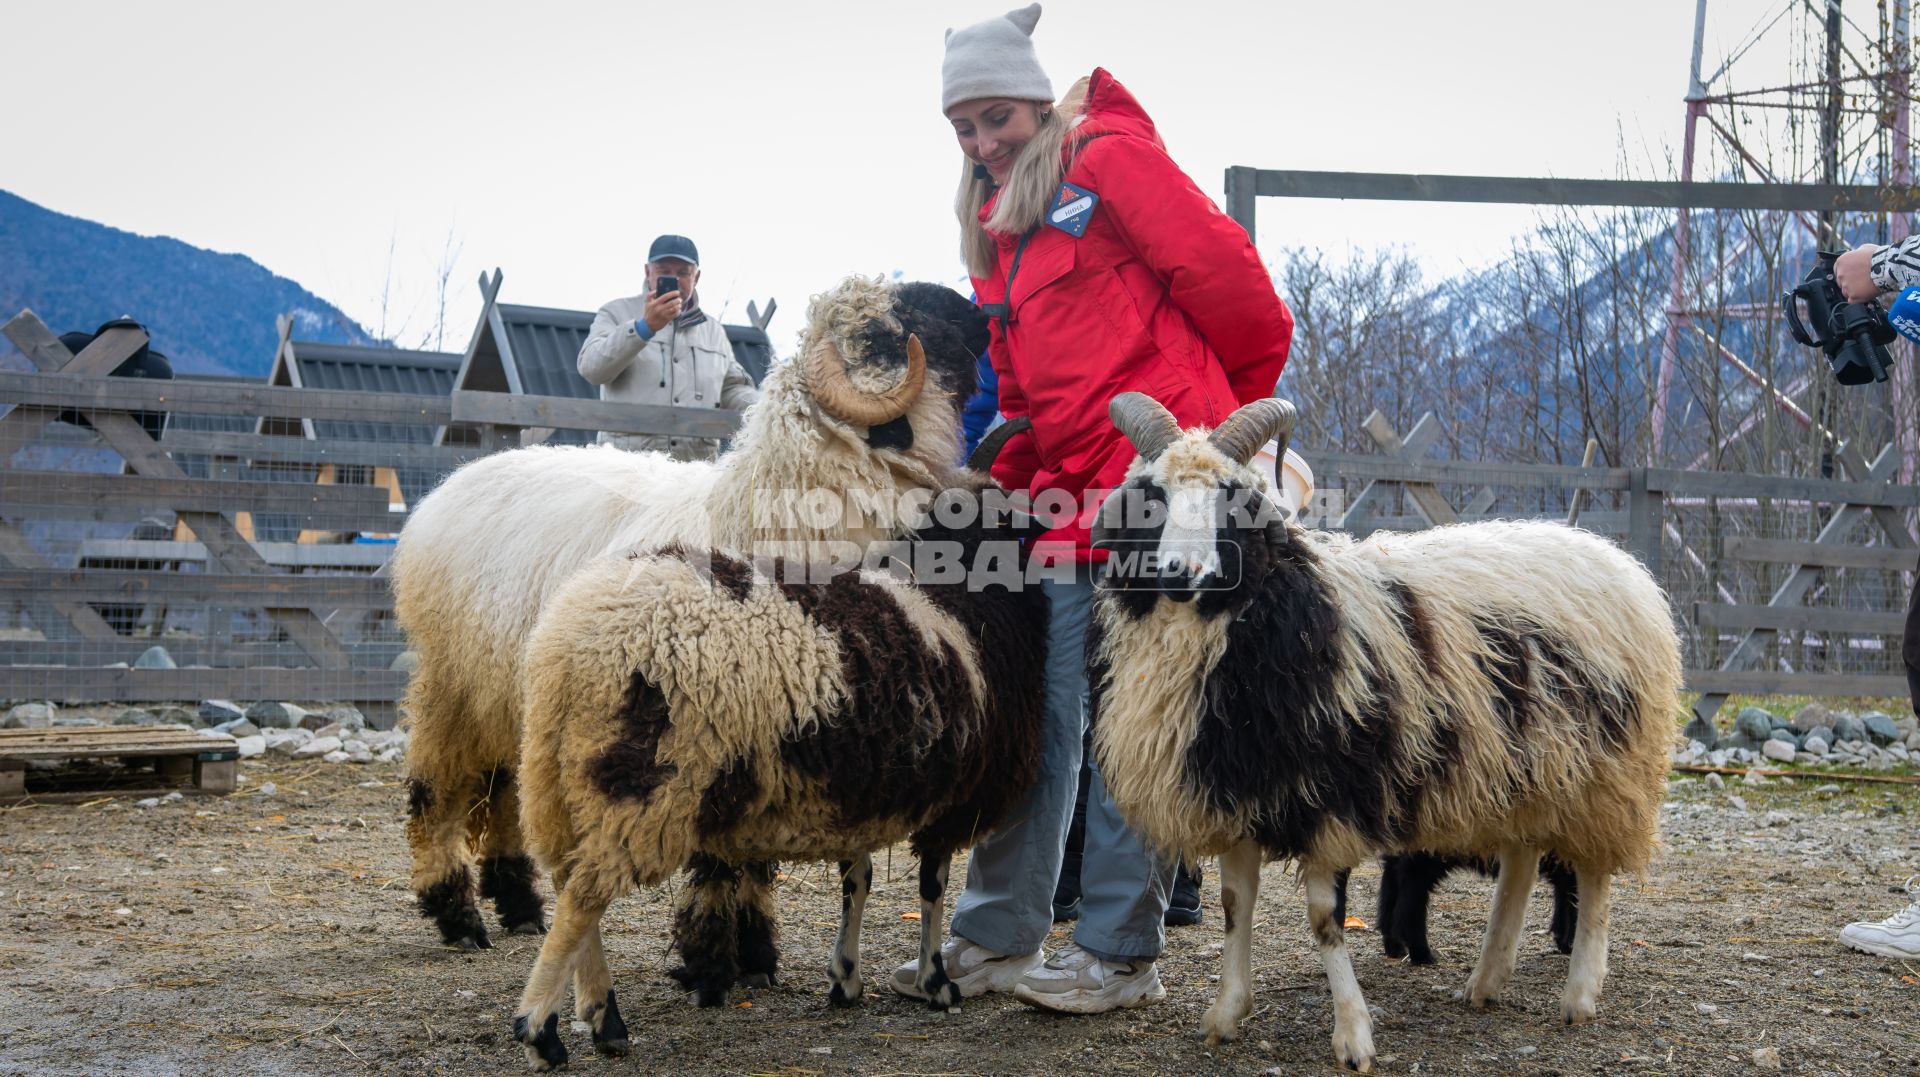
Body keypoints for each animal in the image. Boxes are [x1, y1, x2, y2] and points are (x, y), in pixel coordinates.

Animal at [391, 274, 990, 948]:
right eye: (893, 326)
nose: (984, 315)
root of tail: (455, 483)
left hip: (507, 688)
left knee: (502, 790)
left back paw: (518, 904)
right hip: (452, 681)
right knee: (436, 788)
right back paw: (456, 912)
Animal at [506, 483, 1052, 1067]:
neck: (953, 597)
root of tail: (569, 645)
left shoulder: (857, 794)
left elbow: (856, 881)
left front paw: (845, 978)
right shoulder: (951, 801)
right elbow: (932, 889)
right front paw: (935, 982)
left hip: (557, 775)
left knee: (570, 883)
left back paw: (602, 1017)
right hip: (644, 787)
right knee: (581, 902)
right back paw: (543, 1031)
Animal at [1082, 389, 1681, 1067]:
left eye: (1234, 499)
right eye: (1151, 496)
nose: (1182, 573)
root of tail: (1616, 558)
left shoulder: (1324, 796)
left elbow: (1323, 918)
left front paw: (1353, 1034)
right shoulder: (1241, 786)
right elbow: (1237, 906)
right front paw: (1227, 1012)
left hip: (1605, 771)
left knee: (1593, 875)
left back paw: (1579, 994)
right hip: (1522, 765)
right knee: (1523, 861)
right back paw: (1486, 980)